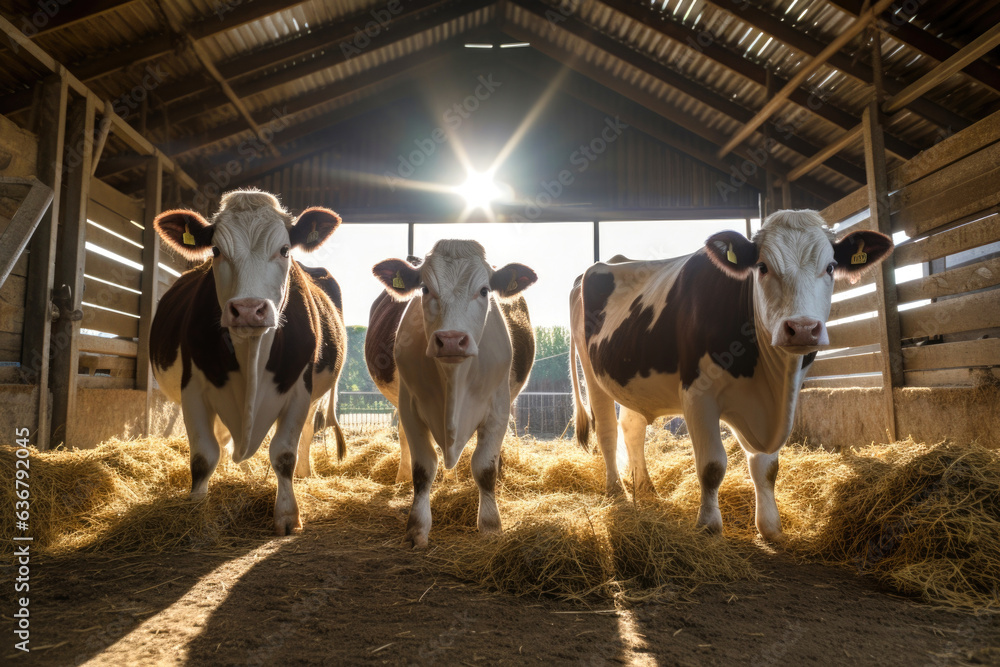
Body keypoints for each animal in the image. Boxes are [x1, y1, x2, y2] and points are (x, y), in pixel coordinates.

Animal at [148, 189, 350, 536]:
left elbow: (284, 453)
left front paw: (287, 515)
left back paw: (305, 473)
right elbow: (203, 456)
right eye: (216, 250)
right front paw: (197, 510)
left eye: (284, 250)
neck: (251, 353)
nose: (248, 309)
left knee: (307, 431)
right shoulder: (193, 389)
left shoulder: (299, 390)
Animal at [368, 240, 540, 548]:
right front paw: (417, 528)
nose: (450, 340)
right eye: (425, 289)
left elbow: (484, 468)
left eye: (484, 290)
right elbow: (423, 468)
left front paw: (490, 526)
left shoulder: (498, 409)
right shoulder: (410, 408)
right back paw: (403, 477)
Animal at [572, 211, 892, 540]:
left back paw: (646, 489)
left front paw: (770, 526)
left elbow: (766, 467)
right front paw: (708, 525)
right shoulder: (698, 395)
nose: (802, 328)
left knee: (632, 427)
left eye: (830, 267)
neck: (771, 384)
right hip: (592, 372)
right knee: (607, 431)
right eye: (762, 267)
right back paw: (617, 491)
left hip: (634, 382)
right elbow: (712, 465)